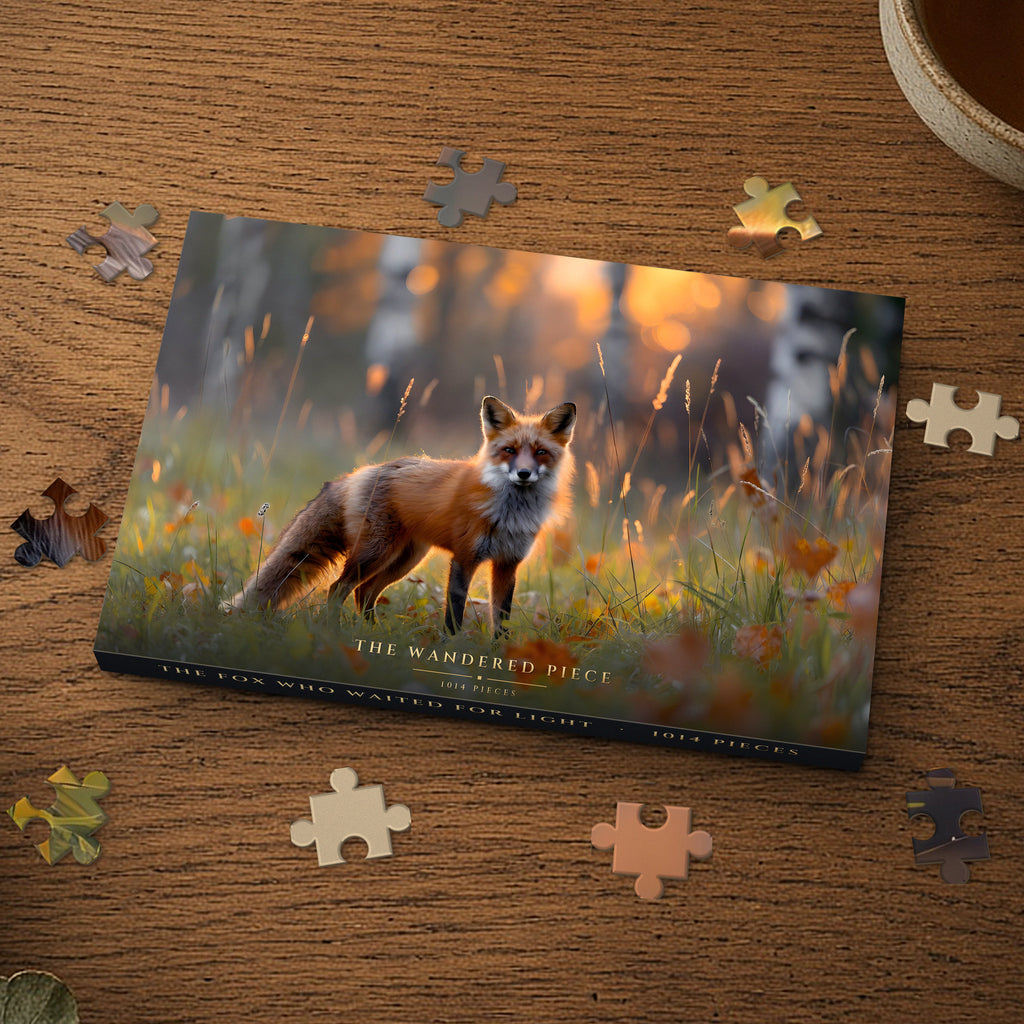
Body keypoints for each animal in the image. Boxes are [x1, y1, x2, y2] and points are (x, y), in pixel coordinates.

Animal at [229, 396, 577, 634]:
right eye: (509, 450)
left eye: (540, 453)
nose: (523, 474)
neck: (509, 514)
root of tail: (358, 473)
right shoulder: (464, 558)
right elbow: (455, 613)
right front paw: (450, 651)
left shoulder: (507, 564)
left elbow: (500, 619)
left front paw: (497, 658)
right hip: (375, 553)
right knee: (338, 589)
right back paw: (334, 632)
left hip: (404, 559)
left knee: (364, 592)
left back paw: (371, 635)